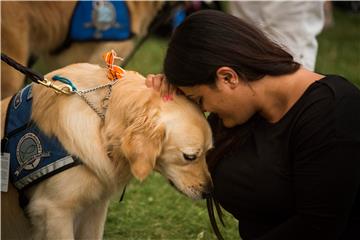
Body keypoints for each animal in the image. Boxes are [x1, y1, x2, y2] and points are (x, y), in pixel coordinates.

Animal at [0, 62, 214, 239]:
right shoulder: (53, 210)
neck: (103, 119)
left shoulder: (95, 206)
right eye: (190, 157)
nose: (209, 192)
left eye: (208, 152)